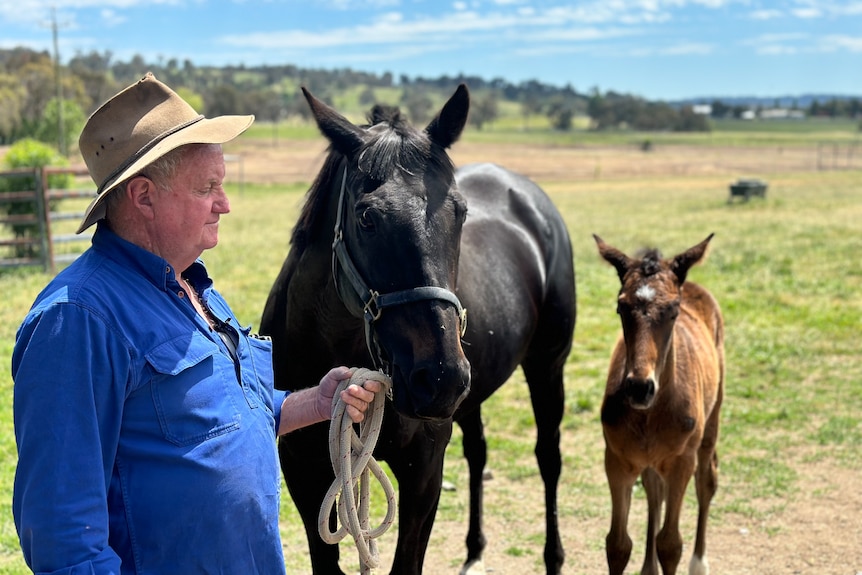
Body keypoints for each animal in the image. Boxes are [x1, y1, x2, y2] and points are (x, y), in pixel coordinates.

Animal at [260, 84, 576, 575]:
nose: (439, 378)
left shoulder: (423, 470)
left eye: (460, 213)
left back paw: (553, 556)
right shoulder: (304, 472)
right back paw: (474, 549)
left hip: (547, 366)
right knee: (478, 451)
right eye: (367, 218)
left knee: (548, 456)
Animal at [593, 234, 724, 575]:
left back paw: (700, 562)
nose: (640, 388)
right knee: (654, 490)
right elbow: (618, 544)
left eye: (674, 310)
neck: (649, 415)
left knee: (706, 481)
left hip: (711, 421)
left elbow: (670, 544)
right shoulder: (617, 461)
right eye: (621, 307)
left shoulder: (681, 461)